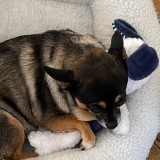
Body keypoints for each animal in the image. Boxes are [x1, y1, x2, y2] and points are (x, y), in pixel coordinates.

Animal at [0, 29, 127, 159]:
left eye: (122, 101)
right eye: (95, 108)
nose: (113, 125)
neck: (82, 52)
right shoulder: (50, 119)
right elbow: (81, 119)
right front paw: (88, 139)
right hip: (10, 119)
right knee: (15, 155)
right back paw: (41, 152)